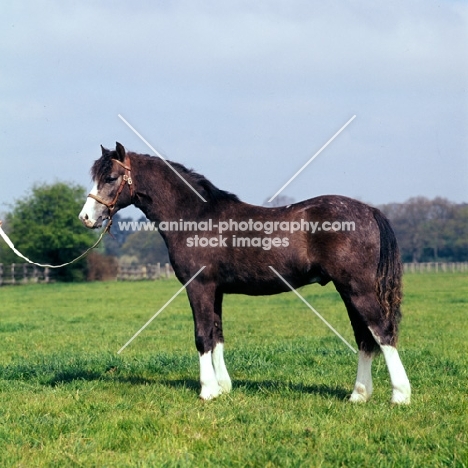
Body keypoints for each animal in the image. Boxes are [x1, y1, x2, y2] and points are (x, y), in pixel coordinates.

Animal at [79, 142, 410, 402]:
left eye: (110, 177)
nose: (86, 217)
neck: (194, 216)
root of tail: (369, 211)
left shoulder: (198, 286)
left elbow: (202, 335)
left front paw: (207, 390)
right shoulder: (216, 290)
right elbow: (216, 335)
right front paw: (223, 387)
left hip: (358, 290)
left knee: (382, 332)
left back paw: (400, 395)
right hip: (348, 290)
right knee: (364, 338)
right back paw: (359, 394)